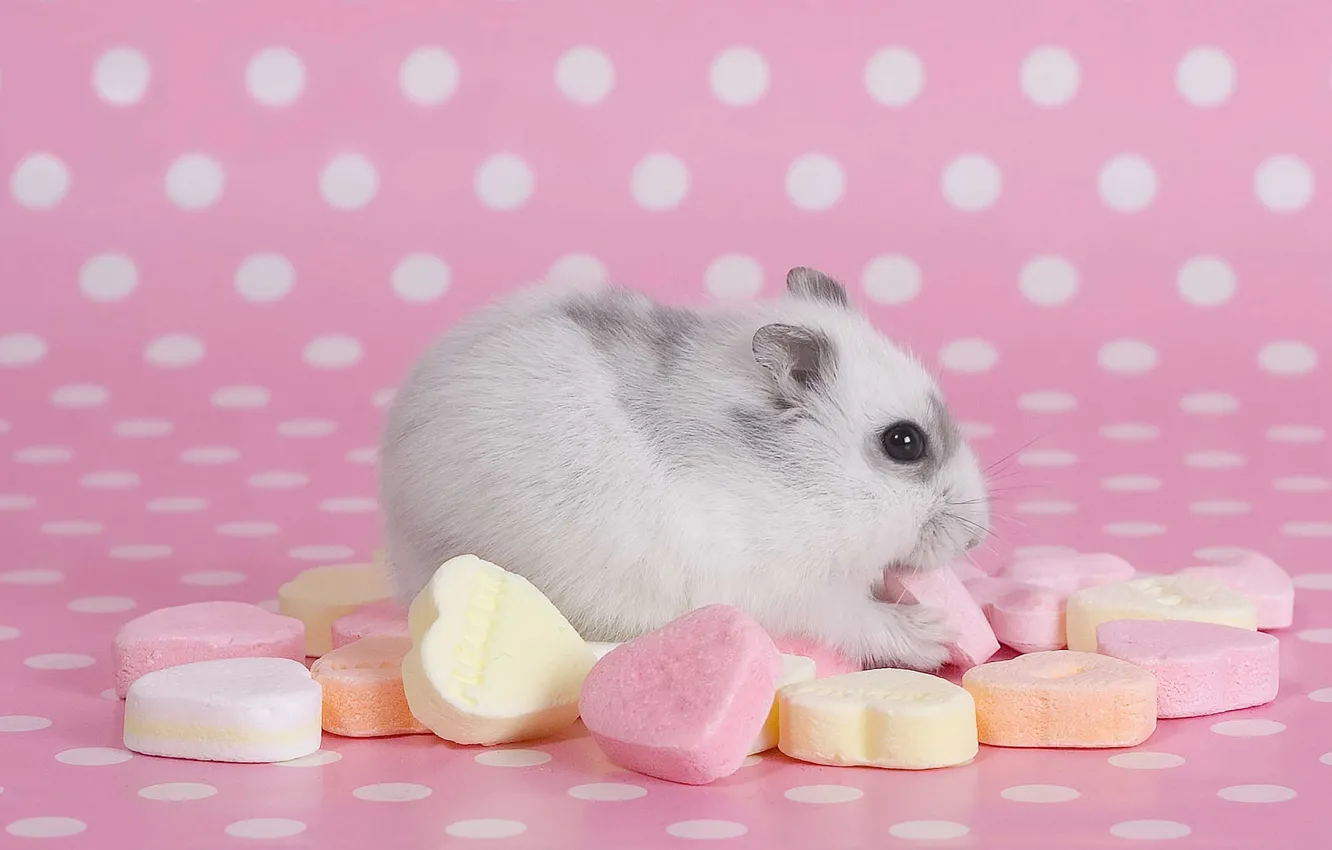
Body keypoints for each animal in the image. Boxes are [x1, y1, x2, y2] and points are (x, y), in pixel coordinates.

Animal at [379, 266, 990, 671]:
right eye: (904, 443)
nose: (978, 538)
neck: (799, 484)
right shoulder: (789, 591)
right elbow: (854, 616)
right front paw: (934, 634)